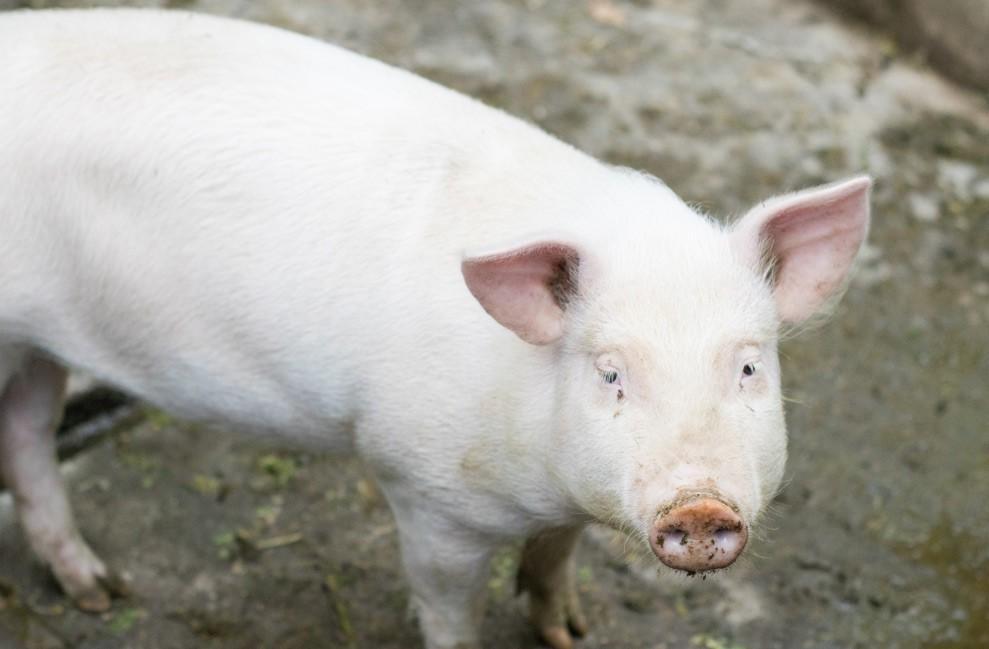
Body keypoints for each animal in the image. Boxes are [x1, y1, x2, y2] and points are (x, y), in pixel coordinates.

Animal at [0, 8, 864, 648]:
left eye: (747, 366)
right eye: (609, 371)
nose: (698, 507)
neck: (541, 480)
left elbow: (554, 557)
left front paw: (569, 632)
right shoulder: (423, 487)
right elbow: (448, 606)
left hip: (37, 345)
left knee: (29, 430)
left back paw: (95, 591)